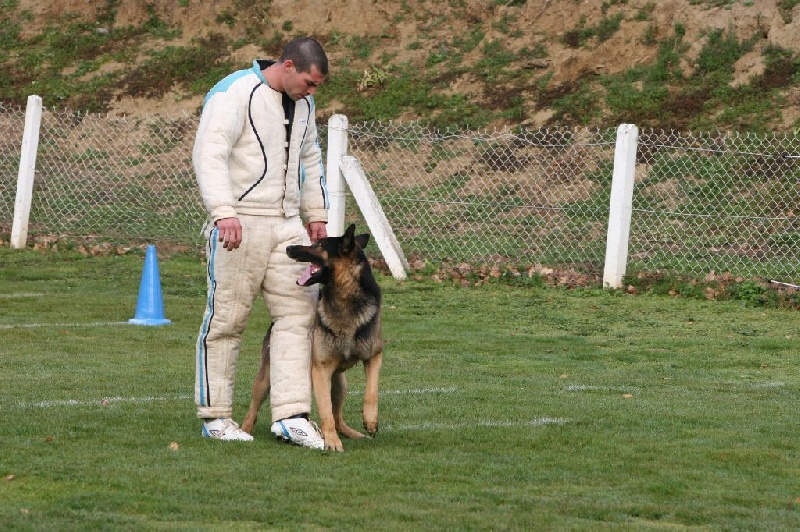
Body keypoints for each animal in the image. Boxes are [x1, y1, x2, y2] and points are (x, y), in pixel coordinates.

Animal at [239, 224, 382, 454]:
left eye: (319, 245)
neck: (345, 297)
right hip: (266, 379)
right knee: (253, 409)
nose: (289, 248)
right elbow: (325, 411)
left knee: (338, 417)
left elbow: (371, 392)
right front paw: (331, 442)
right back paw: (243, 430)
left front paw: (370, 421)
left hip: (340, 384)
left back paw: (352, 433)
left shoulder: (374, 357)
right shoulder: (321, 371)